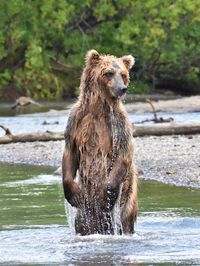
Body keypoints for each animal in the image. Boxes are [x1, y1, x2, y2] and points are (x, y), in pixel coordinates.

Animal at [62, 49, 138, 235]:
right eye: (109, 73)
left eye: (123, 74)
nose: (122, 88)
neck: (99, 108)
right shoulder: (76, 121)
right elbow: (70, 152)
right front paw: (73, 194)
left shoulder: (119, 124)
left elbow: (123, 153)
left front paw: (106, 195)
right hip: (86, 209)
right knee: (82, 222)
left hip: (126, 196)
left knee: (123, 219)